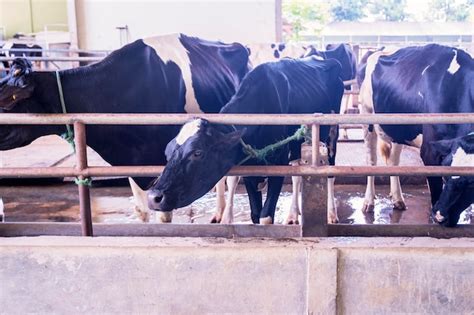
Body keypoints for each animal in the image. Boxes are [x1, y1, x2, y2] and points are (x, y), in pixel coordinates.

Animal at [0, 34, 250, 222]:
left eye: (7, 101)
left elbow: (163, 215)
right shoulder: (134, 161)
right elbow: (141, 211)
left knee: (232, 178)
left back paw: (226, 218)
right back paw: (217, 213)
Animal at [146, 56, 342, 225]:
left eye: (197, 152)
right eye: (167, 152)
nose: (154, 197)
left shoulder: (278, 164)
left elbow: (265, 216)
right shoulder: (250, 171)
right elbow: (255, 214)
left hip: (332, 135)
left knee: (330, 172)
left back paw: (331, 214)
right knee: (297, 176)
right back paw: (294, 214)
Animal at [358, 44, 472, 223]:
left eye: (469, 183)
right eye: (447, 177)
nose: (441, 216)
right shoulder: (429, 152)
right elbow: (435, 191)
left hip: (398, 129)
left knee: (393, 161)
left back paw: (398, 199)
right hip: (366, 117)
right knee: (371, 160)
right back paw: (368, 202)